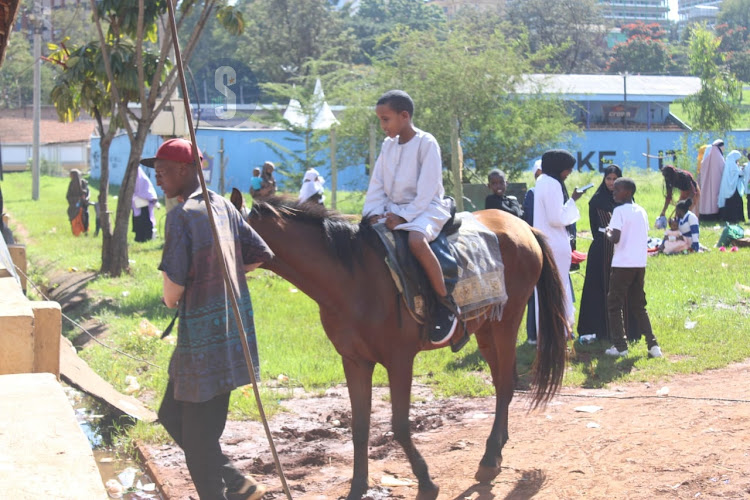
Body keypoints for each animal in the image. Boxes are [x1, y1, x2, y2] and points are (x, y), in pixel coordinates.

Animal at [247, 197, 568, 498]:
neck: (353, 278)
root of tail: (523, 226)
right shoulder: (354, 361)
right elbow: (359, 427)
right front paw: (358, 486)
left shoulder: (399, 360)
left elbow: (400, 425)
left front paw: (426, 483)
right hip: (487, 328)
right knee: (505, 382)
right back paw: (497, 450)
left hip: (507, 322)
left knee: (504, 385)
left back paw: (489, 459)